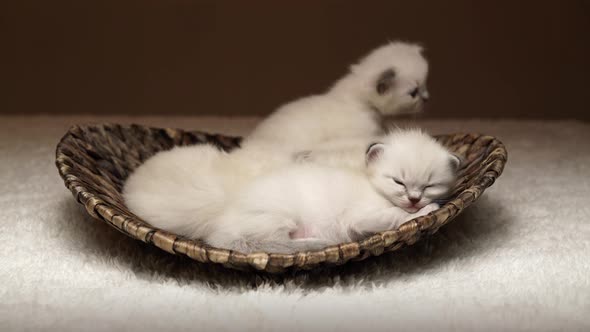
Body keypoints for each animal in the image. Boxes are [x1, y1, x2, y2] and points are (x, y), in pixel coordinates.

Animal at [206, 130, 460, 254]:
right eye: (399, 182)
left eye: (429, 186)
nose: (414, 199)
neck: (374, 187)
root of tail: (218, 234)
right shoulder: (361, 217)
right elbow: (398, 217)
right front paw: (425, 210)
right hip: (277, 218)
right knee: (269, 244)